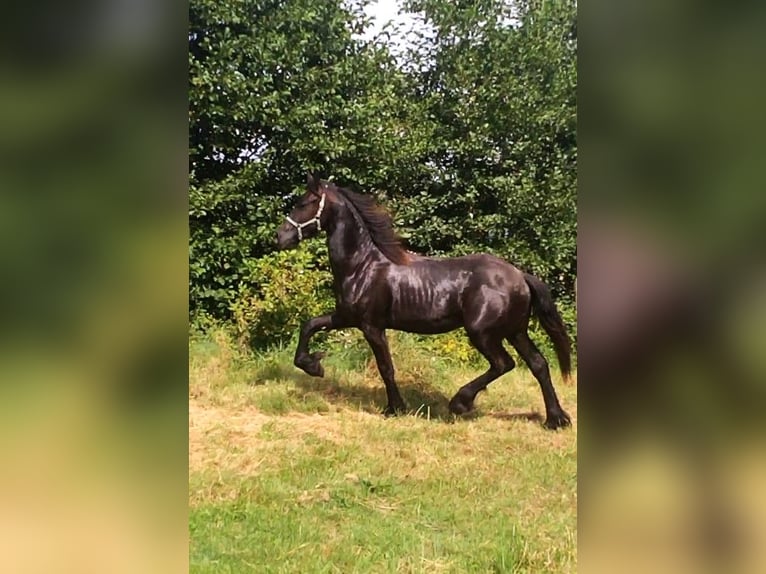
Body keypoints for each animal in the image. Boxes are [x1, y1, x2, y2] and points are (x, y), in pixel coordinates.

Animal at [280, 176, 572, 432]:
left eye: (305, 202)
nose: (278, 237)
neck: (363, 265)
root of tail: (520, 276)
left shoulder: (371, 326)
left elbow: (386, 367)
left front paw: (395, 408)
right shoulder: (345, 317)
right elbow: (309, 325)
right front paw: (314, 365)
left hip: (483, 333)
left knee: (504, 364)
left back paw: (460, 403)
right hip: (515, 331)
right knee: (539, 364)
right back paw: (556, 420)